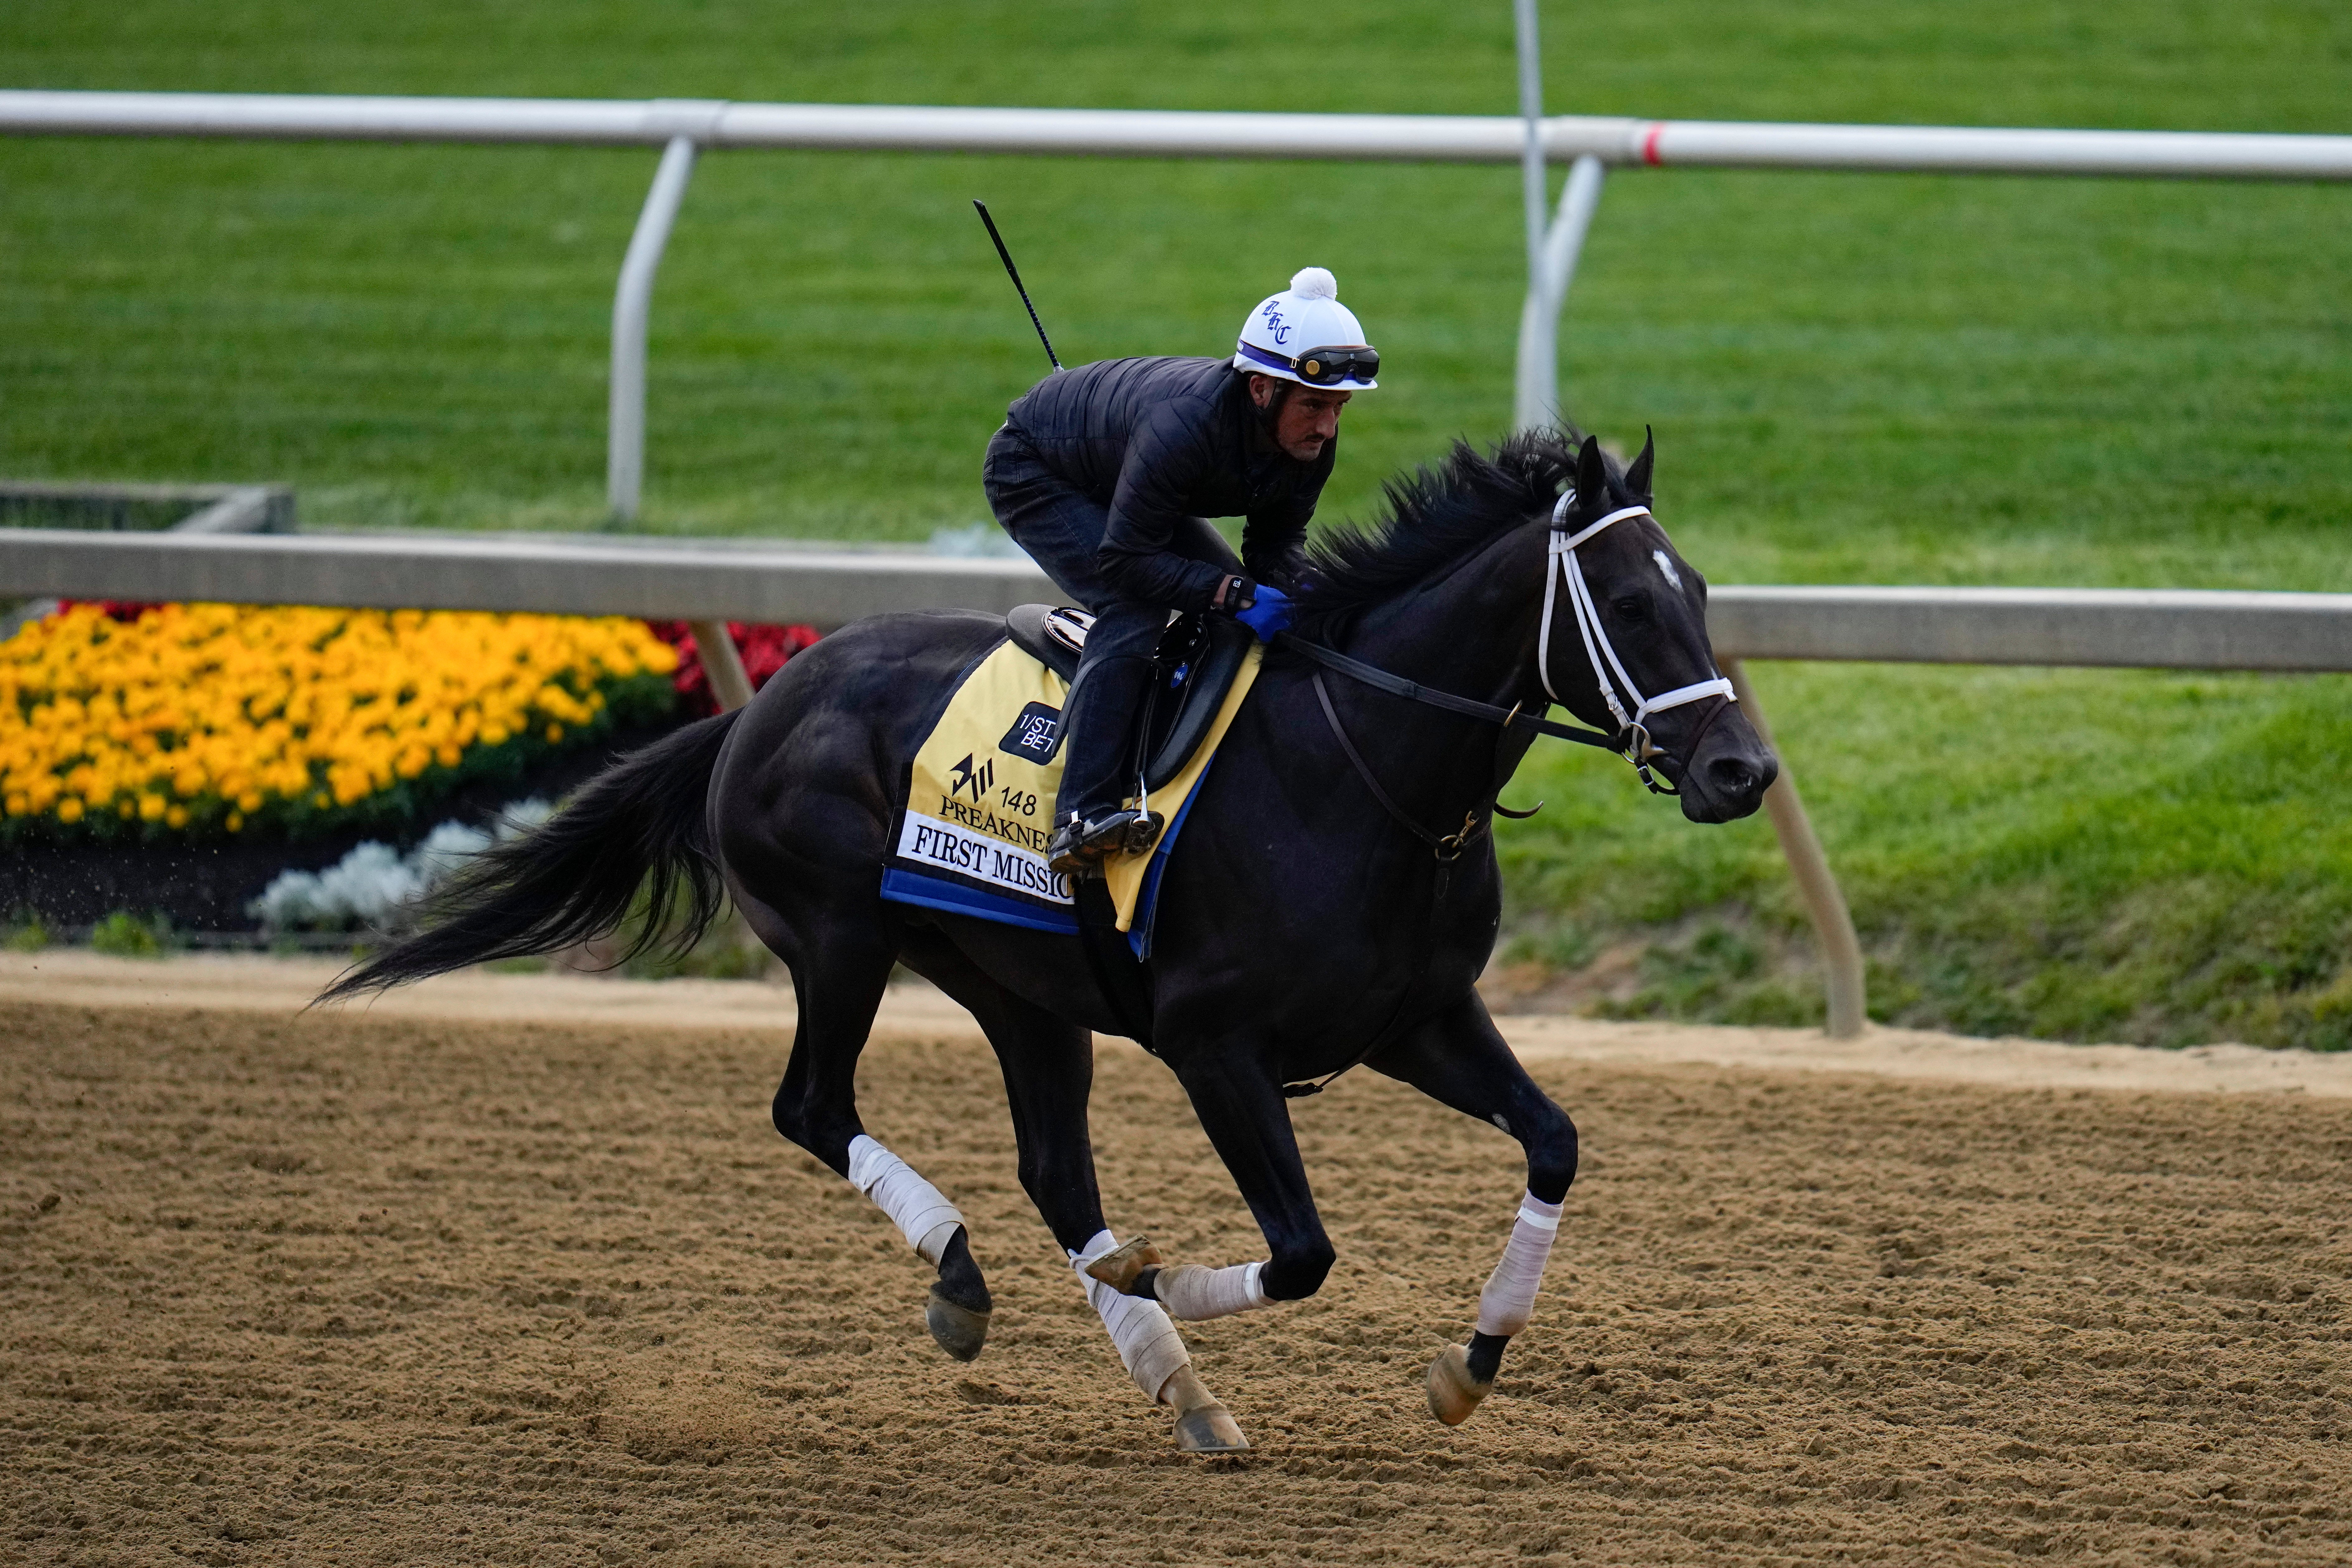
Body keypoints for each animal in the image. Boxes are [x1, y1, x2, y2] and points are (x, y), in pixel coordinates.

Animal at [324, 426, 1777, 1454]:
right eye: (1630, 608)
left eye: (1703, 588)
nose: (1742, 770)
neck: (1361, 769)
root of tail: (762, 703)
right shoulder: (1212, 1044)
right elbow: (1304, 1250)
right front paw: (1159, 1271)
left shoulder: (1417, 1018)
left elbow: (1554, 1142)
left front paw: (1465, 1368)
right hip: (839, 937)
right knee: (815, 1107)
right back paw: (970, 1279)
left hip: (1021, 990)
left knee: (1051, 1170)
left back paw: (1179, 1389)